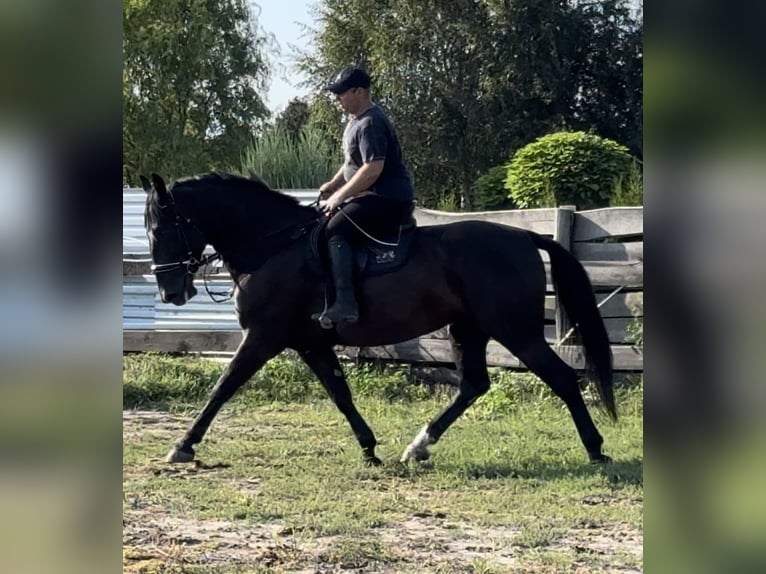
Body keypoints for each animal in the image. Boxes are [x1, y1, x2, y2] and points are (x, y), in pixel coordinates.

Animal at [142, 172, 616, 468]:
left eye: (160, 229)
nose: (171, 292)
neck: (273, 248)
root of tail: (524, 235)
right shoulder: (311, 342)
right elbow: (340, 393)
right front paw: (369, 448)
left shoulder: (264, 337)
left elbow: (223, 387)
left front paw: (183, 446)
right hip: (468, 328)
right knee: (473, 385)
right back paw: (419, 446)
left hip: (515, 331)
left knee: (561, 378)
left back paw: (596, 449)